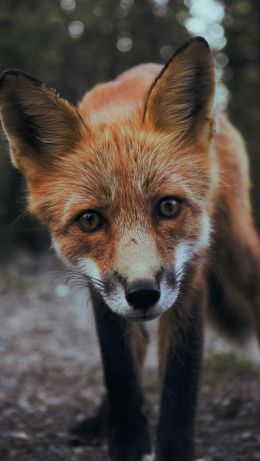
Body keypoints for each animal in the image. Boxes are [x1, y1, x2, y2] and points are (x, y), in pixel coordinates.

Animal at [0, 36, 260, 460]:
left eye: (168, 207)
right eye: (90, 220)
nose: (142, 295)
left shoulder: (190, 277)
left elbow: (180, 381)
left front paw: (172, 450)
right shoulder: (99, 286)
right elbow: (119, 370)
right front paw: (125, 441)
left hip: (239, 252)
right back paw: (100, 419)